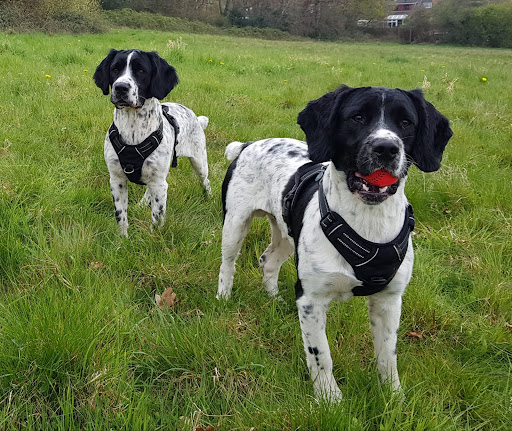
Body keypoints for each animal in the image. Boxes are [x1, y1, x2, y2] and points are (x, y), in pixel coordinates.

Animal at [93, 51, 210, 240]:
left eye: (141, 71)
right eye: (115, 69)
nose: (120, 88)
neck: (133, 129)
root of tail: (196, 117)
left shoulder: (159, 184)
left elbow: (157, 218)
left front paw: (153, 239)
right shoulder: (117, 180)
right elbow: (121, 217)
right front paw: (123, 241)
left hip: (199, 162)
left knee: (205, 181)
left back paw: (209, 198)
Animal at [216, 86, 452, 404]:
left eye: (406, 123)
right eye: (357, 117)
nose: (386, 148)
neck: (368, 222)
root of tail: (248, 145)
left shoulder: (389, 300)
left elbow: (388, 356)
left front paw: (393, 397)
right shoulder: (311, 299)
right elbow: (321, 356)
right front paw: (329, 399)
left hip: (286, 234)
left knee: (268, 260)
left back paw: (273, 297)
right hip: (235, 224)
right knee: (228, 264)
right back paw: (223, 297)